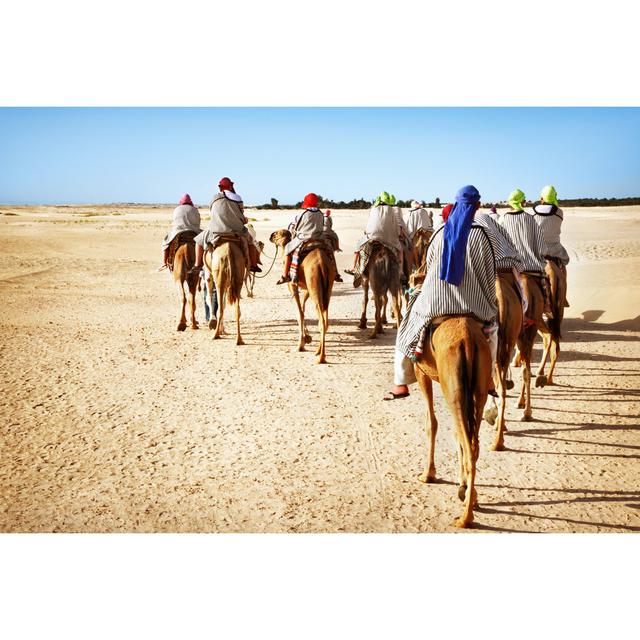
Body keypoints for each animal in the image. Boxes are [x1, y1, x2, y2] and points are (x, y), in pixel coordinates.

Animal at [268, 230, 336, 362]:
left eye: (277, 234)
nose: (271, 236)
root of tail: (322, 264)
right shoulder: (306, 289)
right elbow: (302, 310)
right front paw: (307, 338)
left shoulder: (292, 285)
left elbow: (298, 313)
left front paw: (300, 345)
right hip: (327, 289)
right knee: (325, 319)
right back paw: (318, 351)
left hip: (315, 286)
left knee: (321, 320)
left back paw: (321, 358)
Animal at [412, 316, 492, 528]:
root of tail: (468, 338)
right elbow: (456, 434)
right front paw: (462, 486)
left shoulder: (421, 371)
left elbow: (431, 423)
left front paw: (428, 474)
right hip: (479, 386)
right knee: (472, 442)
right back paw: (471, 500)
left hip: (452, 388)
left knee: (468, 443)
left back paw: (465, 518)